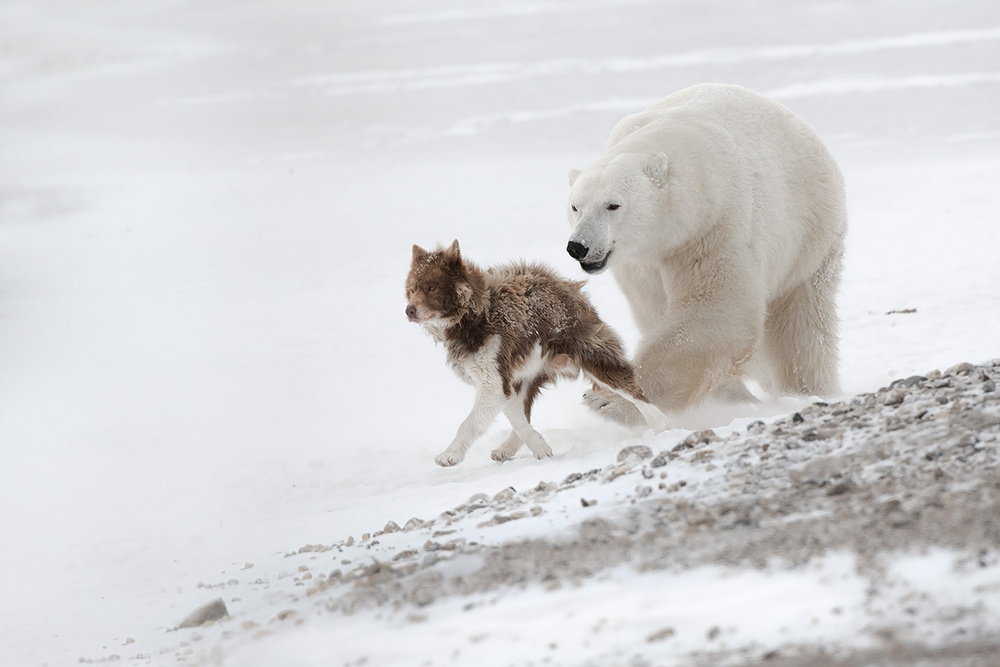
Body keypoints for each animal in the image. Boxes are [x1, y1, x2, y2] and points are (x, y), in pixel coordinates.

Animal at [402, 243, 668, 468]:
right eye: (412, 290)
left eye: (431, 287)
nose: (409, 311)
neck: (476, 316)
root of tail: (563, 283)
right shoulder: (501, 380)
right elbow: (517, 419)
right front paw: (540, 447)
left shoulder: (493, 380)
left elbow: (471, 423)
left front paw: (450, 455)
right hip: (528, 372)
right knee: (523, 410)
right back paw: (508, 448)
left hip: (592, 355)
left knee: (634, 392)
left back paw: (663, 428)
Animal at [568, 81, 848, 420]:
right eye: (575, 207)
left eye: (613, 205)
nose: (578, 247)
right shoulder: (640, 263)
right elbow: (658, 311)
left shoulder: (715, 226)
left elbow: (717, 311)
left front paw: (612, 401)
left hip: (808, 234)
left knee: (800, 323)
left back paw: (805, 390)